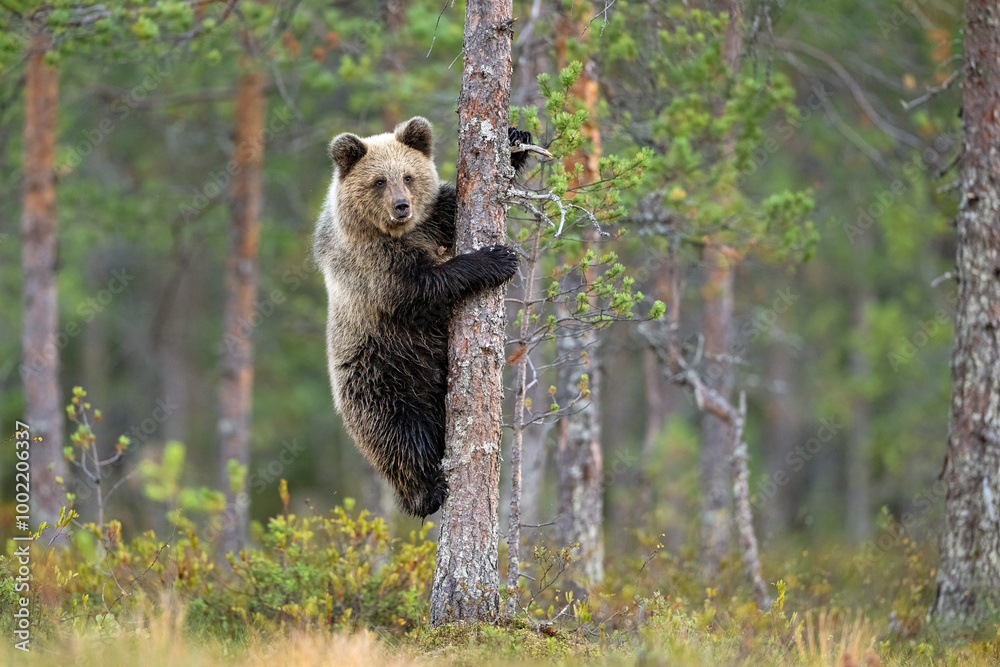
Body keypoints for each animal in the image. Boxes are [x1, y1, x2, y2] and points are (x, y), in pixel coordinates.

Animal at [313, 116, 526, 518]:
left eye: (409, 176)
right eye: (378, 181)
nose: (401, 206)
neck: (401, 233)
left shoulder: (435, 218)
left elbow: (454, 202)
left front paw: (515, 140)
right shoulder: (373, 267)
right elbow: (420, 288)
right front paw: (496, 258)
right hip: (381, 377)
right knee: (400, 437)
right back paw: (425, 494)